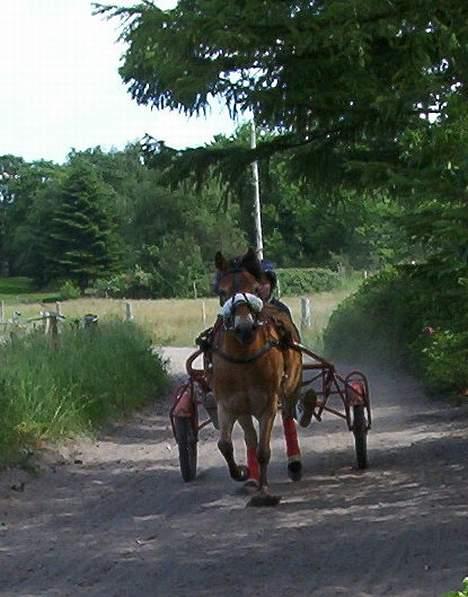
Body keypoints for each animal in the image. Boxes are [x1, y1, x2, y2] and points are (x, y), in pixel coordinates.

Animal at [209, 246, 302, 502]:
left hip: (290, 389)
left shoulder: (267, 403)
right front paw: (242, 472)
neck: (243, 358)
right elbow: (226, 445)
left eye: (254, 289)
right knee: (249, 437)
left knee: (288, 417)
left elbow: (263, 449)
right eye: (222, 292)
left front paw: (264, 491)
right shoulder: (229, 404)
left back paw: (294, 463)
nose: (244, 327)